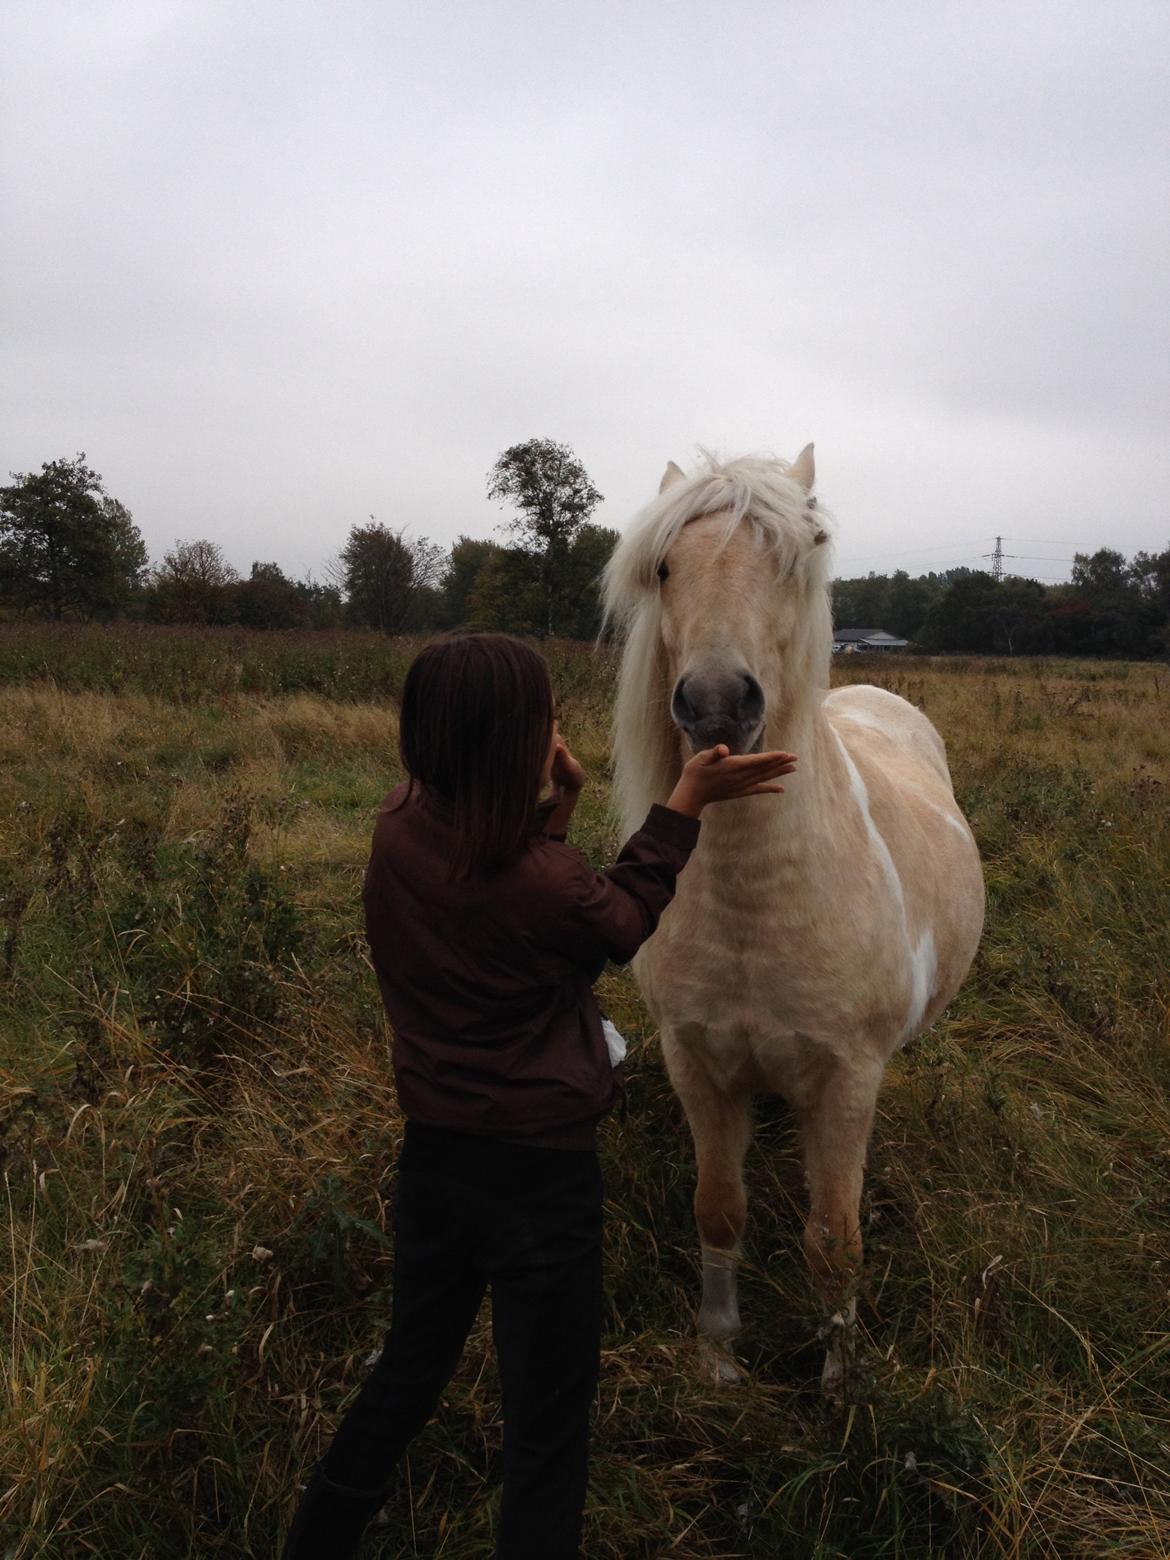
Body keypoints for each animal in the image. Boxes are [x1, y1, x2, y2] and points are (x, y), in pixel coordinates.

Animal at [605, 446, 992, 1385]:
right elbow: (719, 1209)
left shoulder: (848, 1080)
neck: (759, 905)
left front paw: (839, 1384)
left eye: (795, 556)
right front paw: (718, 1357)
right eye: (662, 567)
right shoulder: (698, 1066)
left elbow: (835, 1242)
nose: (716, 703)